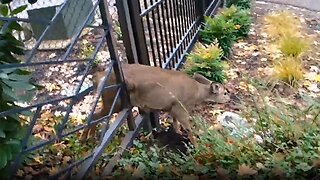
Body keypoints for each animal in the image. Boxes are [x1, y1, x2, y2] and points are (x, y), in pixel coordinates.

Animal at [79, 62, 230, 147]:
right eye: (225, 92)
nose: (229, 99)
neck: (197, 93)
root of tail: (99, 76)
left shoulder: (173, 108)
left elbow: (175, 124)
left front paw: (178, 133)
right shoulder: (181, 107)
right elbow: (189, 129)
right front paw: (198, 146)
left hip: (109, 100)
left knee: (95, 115)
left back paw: (90, 138)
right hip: (115, 100)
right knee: (94, 116)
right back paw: (85, 138)